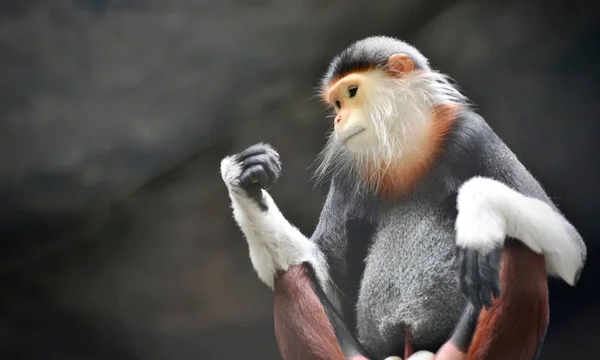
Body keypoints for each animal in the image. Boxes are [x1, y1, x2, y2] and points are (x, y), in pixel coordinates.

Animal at [219, 37, 584, 360]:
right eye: (336, 103)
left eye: (351, 93)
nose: (338, 118)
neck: (405, 151)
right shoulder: (349, 174)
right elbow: (328, 276)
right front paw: (244, 181)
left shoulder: (471, 134)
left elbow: (568, 248)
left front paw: (479, 217)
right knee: (290, 273)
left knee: (516, 243)